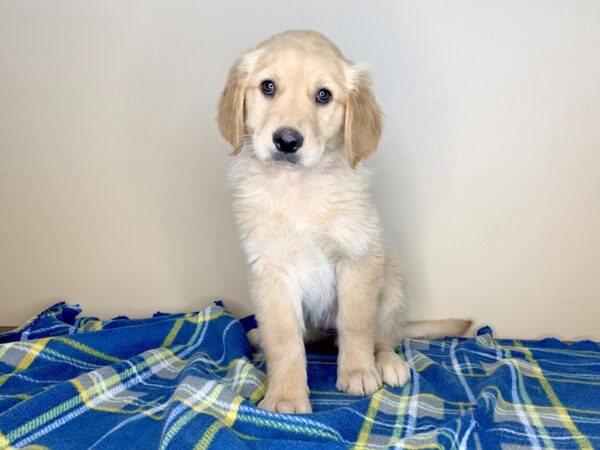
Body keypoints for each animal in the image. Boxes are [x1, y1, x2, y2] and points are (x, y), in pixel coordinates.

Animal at [218, 29, 472, 414]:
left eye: (323, 95)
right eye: (267, 87)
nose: (287, 141)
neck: (299, 188)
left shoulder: (357, 257)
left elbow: (356, 324)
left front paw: (357, 372)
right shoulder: (271, 271)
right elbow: (284, 339)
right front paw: (285, 395)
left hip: (391, 282)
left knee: (384, 336)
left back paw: (386, 363)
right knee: (303, 336)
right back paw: (261, 335)